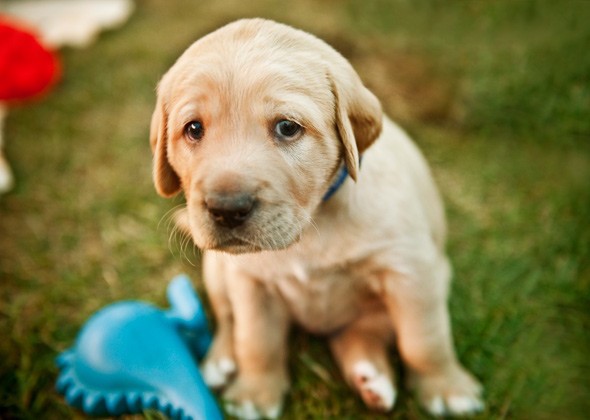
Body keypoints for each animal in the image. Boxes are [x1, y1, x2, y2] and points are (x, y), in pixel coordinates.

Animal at [150, 18, 484, 418]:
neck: (312, 224)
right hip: (217, 268)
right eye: (193, 129)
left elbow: (424, 339)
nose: (227, 208)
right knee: (229, 319)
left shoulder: (411, 270)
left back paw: (370, 376)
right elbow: (256, 340)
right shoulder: (250, 283)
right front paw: (255, 395)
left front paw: (447, 389)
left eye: (287, 127)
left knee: (363, 333)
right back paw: (221, 360)